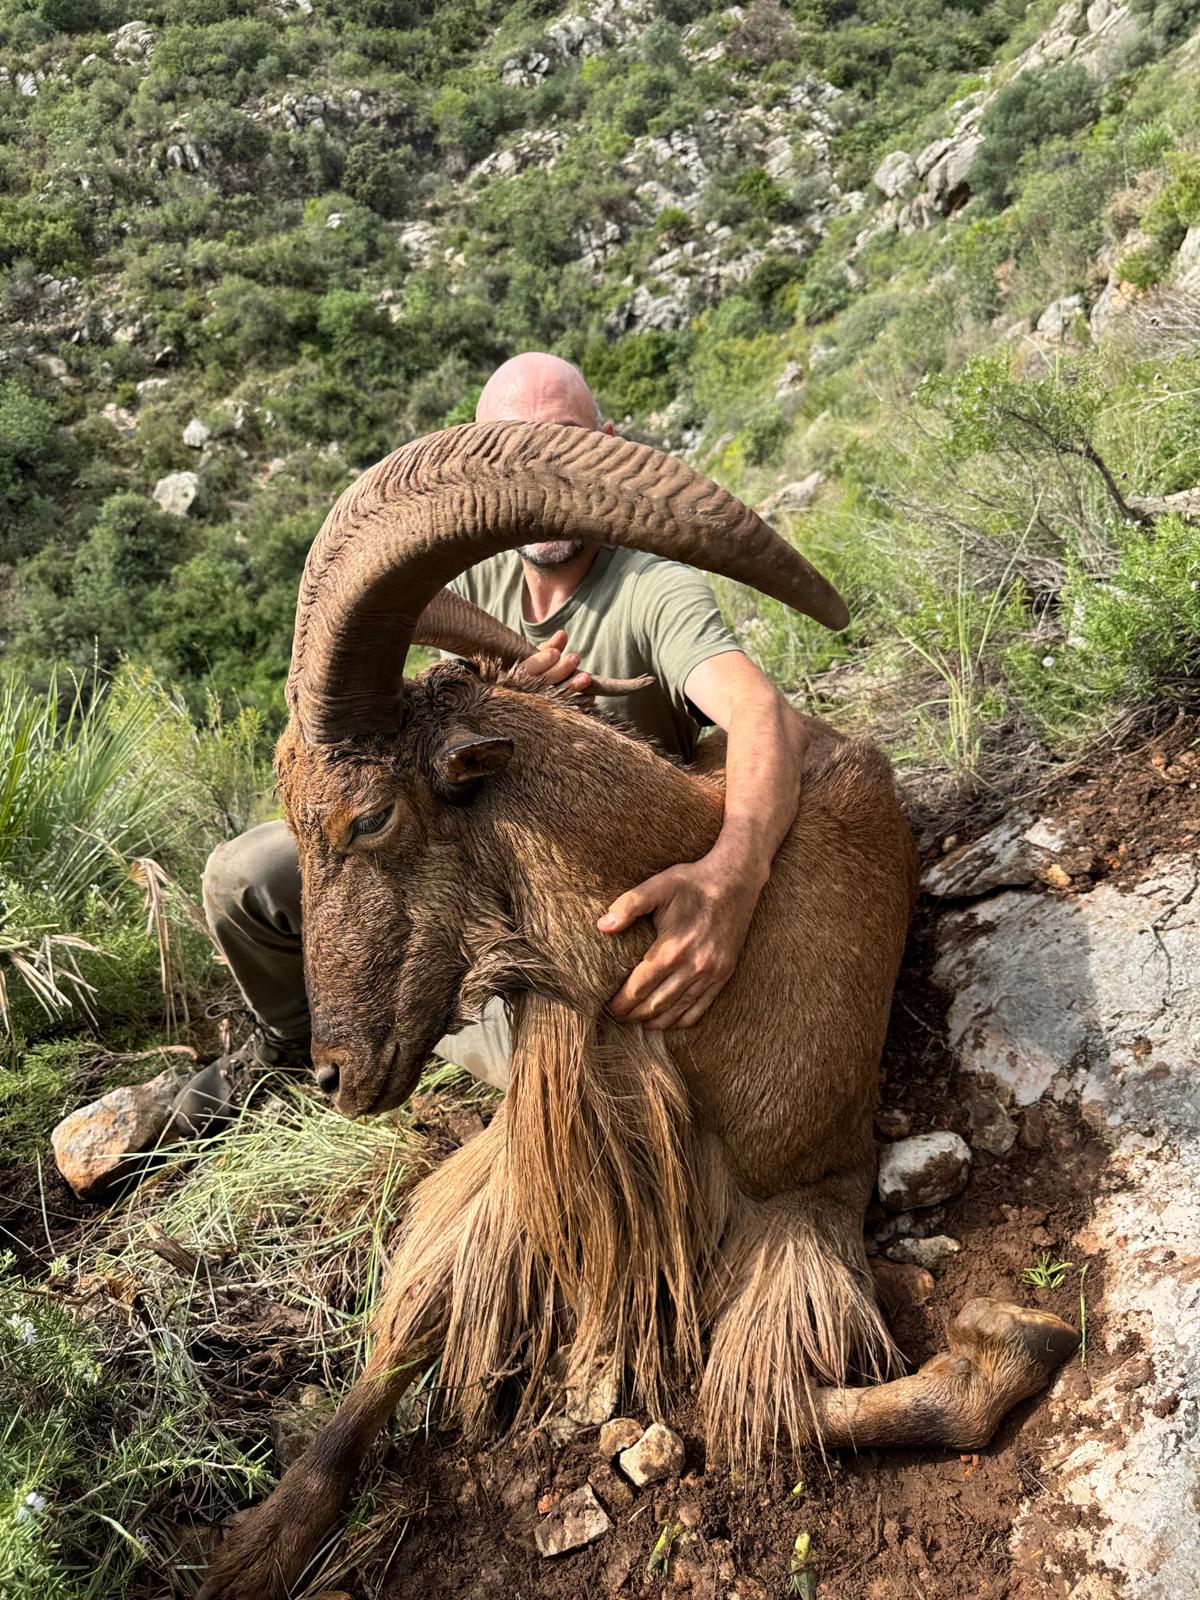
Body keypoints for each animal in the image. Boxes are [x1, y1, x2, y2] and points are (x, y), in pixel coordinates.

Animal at [200, 422, 1078, 1599]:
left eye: (370, 814)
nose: (336, 1075)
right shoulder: (513, 1172)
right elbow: (409, 1323)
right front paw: (259, 1540)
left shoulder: (810, 1195)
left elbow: (767, 1398)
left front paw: (1008, 1337)